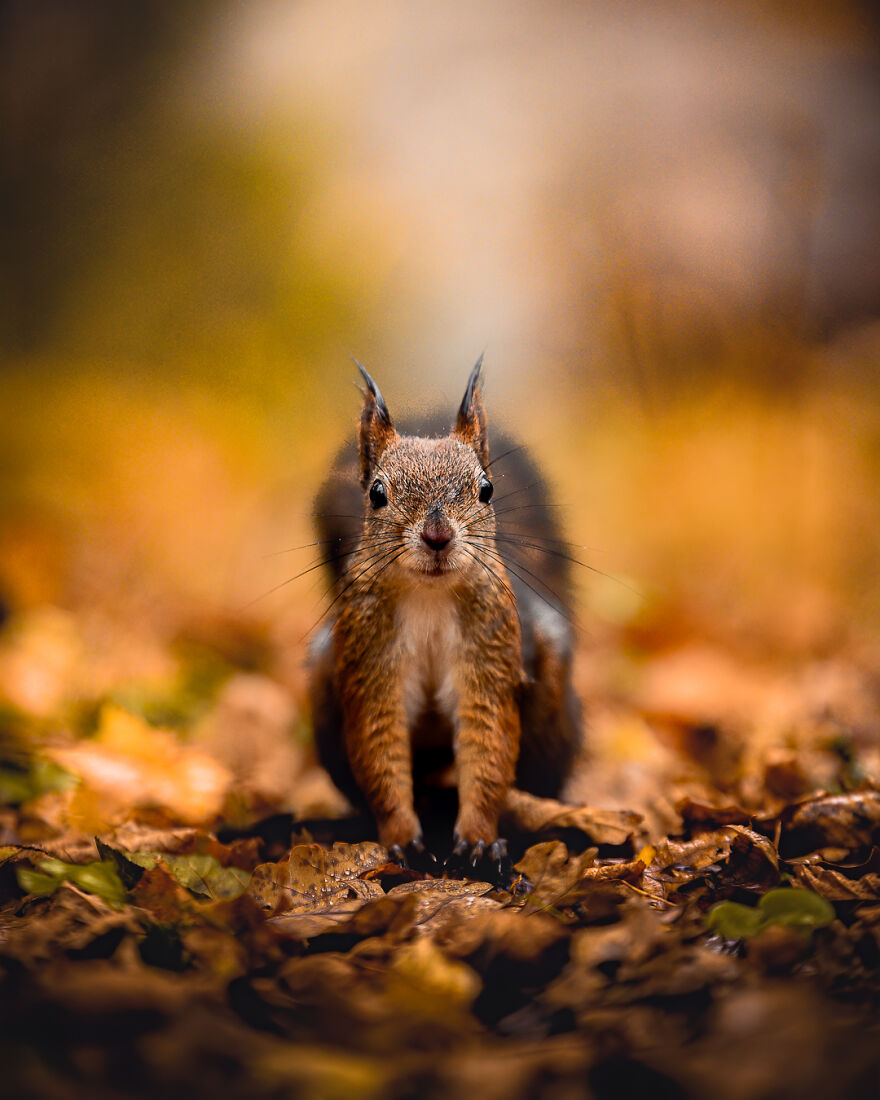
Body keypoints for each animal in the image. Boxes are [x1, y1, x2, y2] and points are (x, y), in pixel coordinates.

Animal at [307, 357, 582, 864]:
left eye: (487, 489)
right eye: (376, 493)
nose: (437, 536)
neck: (430, 596)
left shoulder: (489, 656)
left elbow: (487, 748)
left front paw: (479, 837)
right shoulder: (370, 662)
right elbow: (379, 750)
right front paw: (399, 837)